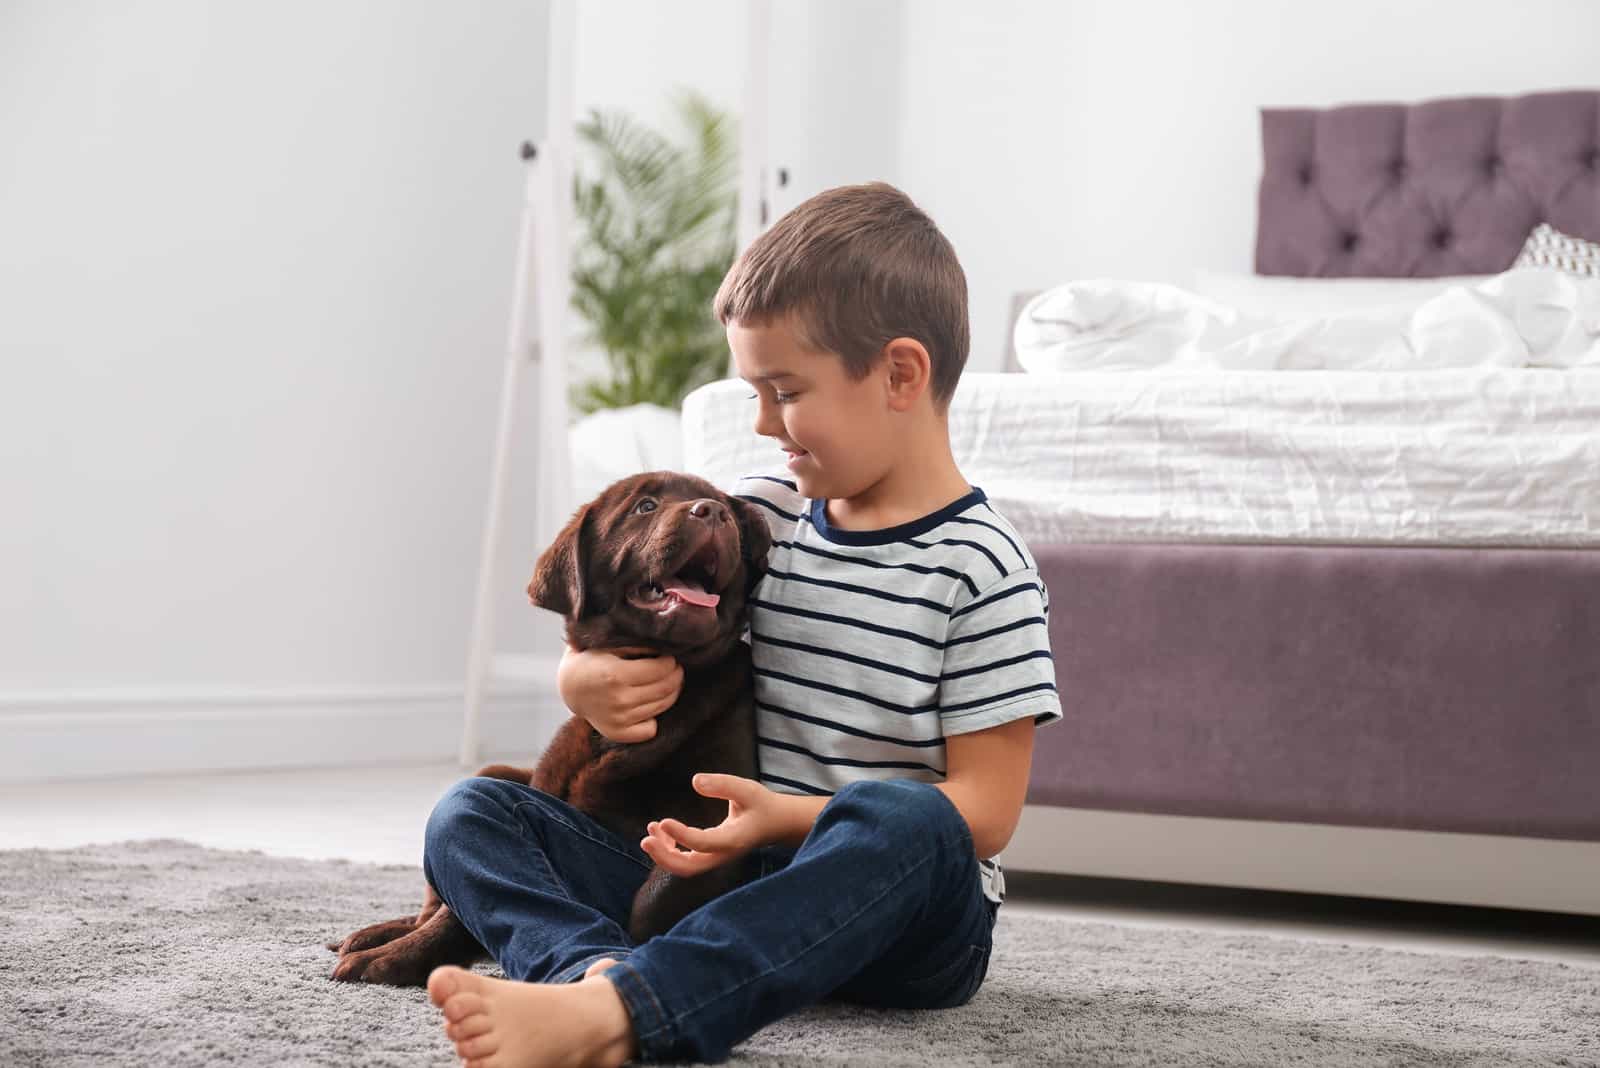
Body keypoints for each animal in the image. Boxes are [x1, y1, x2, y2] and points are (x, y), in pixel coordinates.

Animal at [326, 470, 768, 991]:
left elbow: (661, 887)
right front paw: (397, 956)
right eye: (645, 506)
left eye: (722, 505)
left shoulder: (723, 810)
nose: (713, 512)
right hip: (497, 772)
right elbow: (457, 912)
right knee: (440, 892)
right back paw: (379, 935)